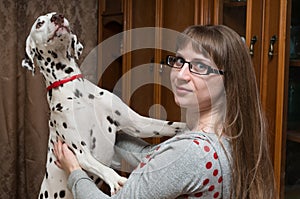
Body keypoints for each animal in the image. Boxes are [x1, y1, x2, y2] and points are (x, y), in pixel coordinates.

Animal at [21, 12, 185, 199]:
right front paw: (116, 180)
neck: (76, 90)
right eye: (39, 23)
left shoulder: (138, 123)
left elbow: (171, 125)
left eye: (56, 16)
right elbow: (101, 167)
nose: (58, 17)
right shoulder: (80, 152)